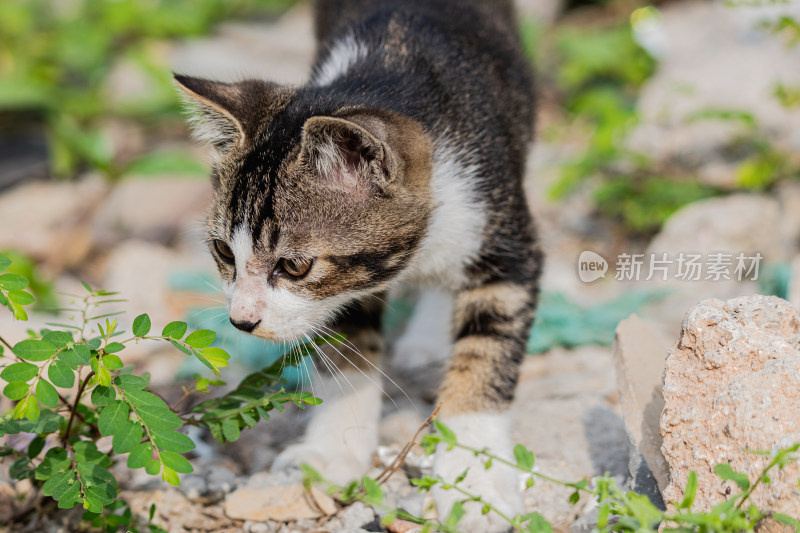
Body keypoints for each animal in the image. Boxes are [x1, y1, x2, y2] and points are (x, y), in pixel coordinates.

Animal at [175, 0, 544, 528]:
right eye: (225, 252)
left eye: (294, 266)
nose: (241, 320)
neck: (388, 68)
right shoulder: (340, 290)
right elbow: (346, 347)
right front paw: (336, 451)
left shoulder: (505, 237)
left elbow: (486, 353)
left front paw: (477, 479)